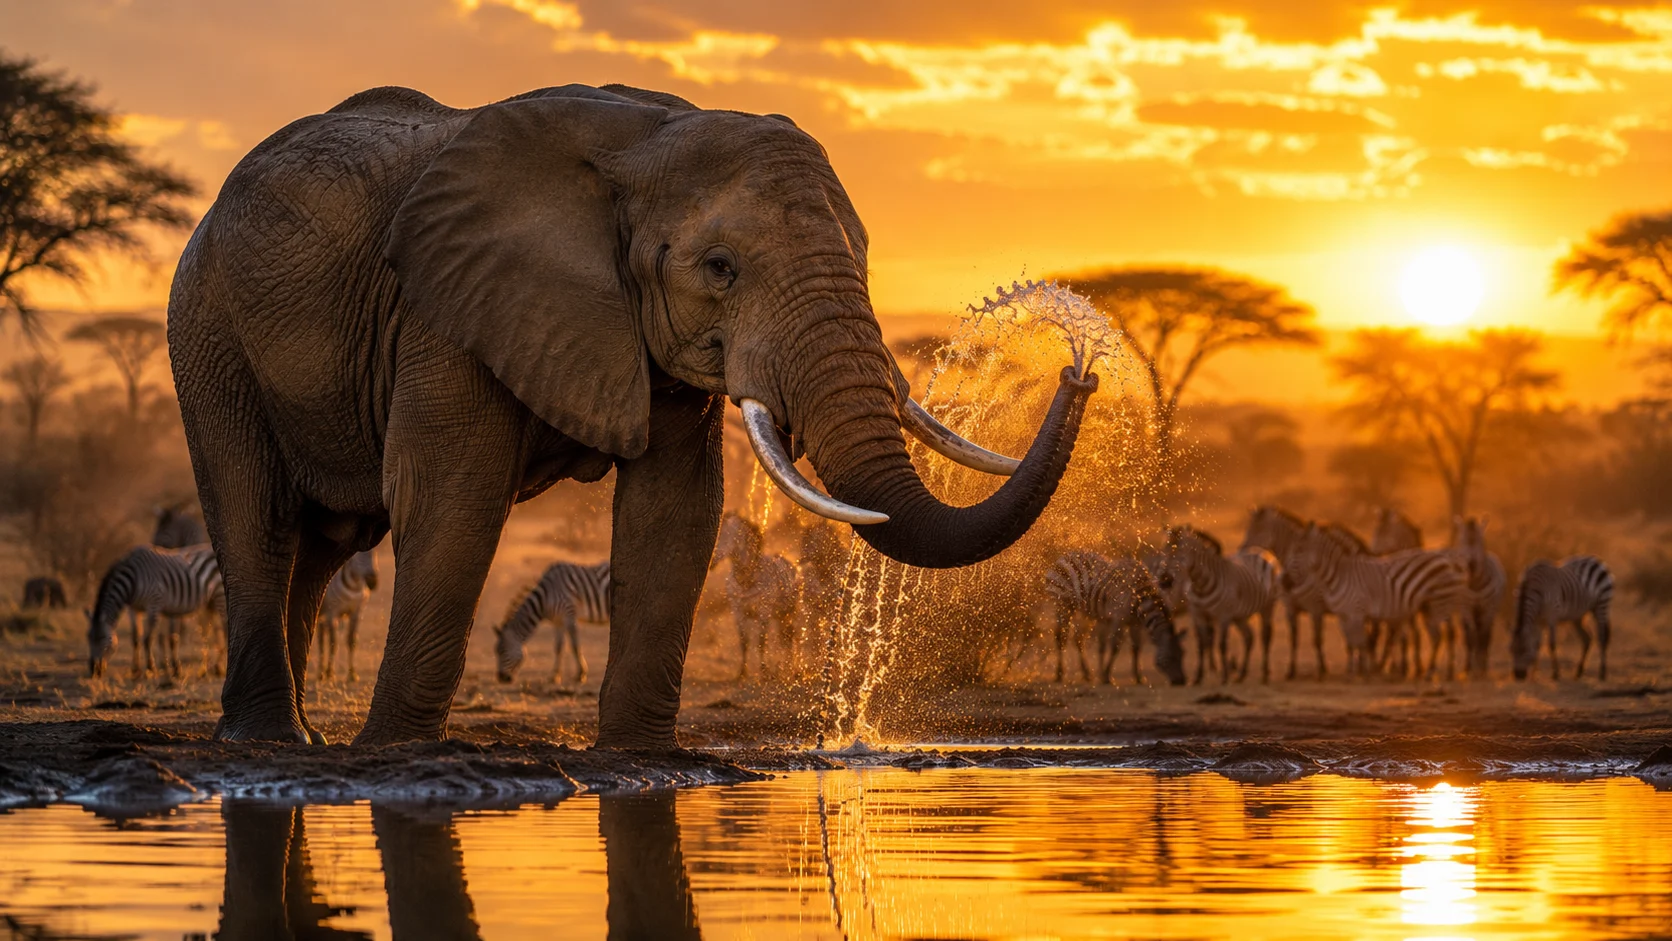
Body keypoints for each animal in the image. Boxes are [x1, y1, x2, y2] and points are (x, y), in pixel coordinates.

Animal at [167, 81, 1098, 748]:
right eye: (720, 268)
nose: (1079, 366)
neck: (644, 137)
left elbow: (675, 514)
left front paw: (640, 759)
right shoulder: (445, 308)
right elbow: (451, 497)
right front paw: (397, 756)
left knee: (322, 543)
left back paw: (299, 740)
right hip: (208, 329)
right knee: (258, 517)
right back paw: (268, 742)